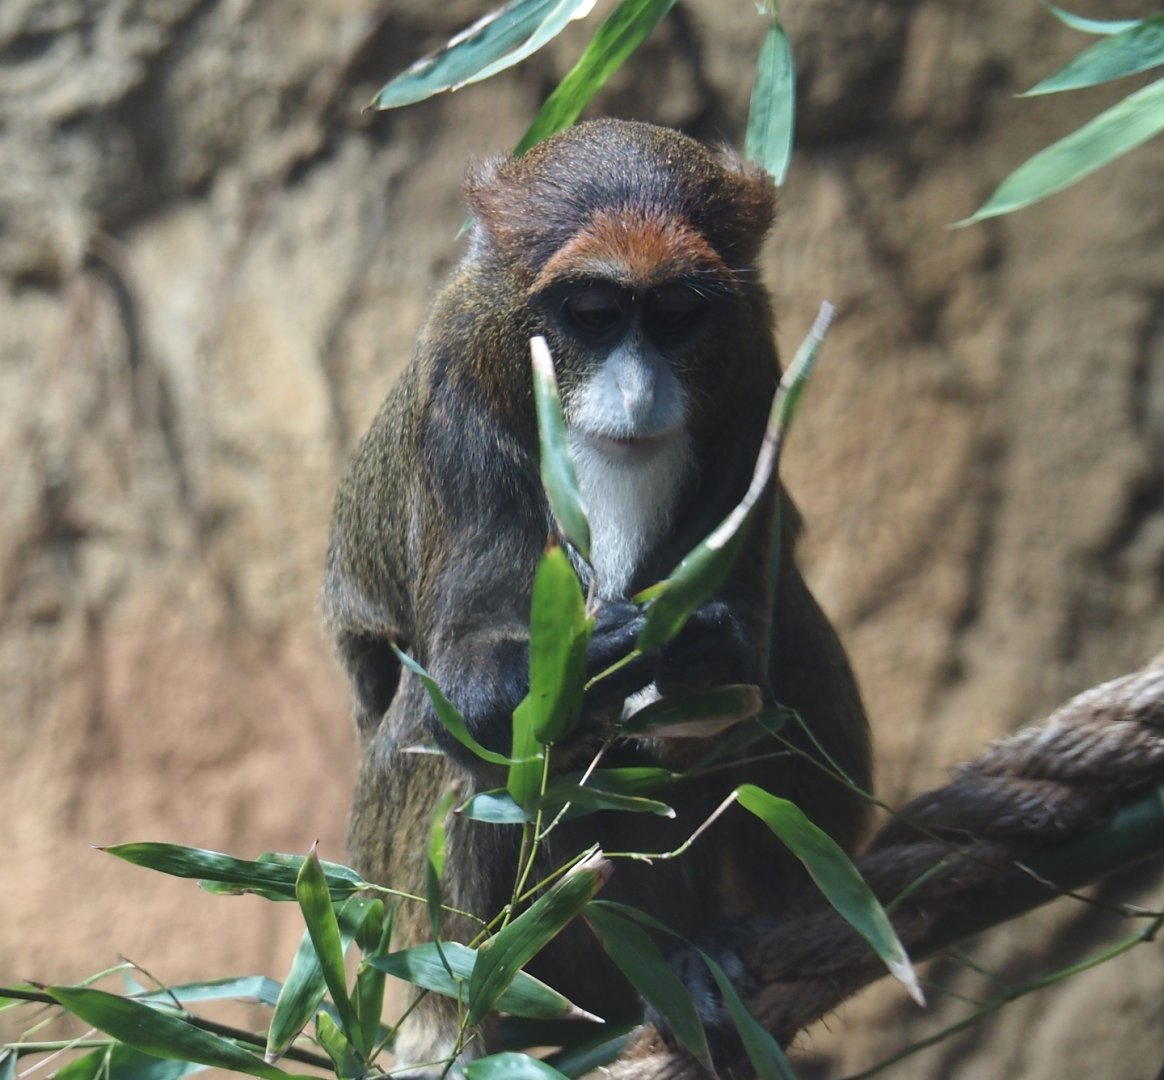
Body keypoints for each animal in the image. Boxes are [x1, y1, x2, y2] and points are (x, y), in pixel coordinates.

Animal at [323, 119, 871, 1073]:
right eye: (591, 314)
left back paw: (706, 956)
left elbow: (742, 671)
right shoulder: (456, 394)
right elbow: (465, 688)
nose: (638, 390)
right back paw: (458, 1027)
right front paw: (593, 652)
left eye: (678, 313)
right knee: (442, 748)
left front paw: (700, 651)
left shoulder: (756, 362)